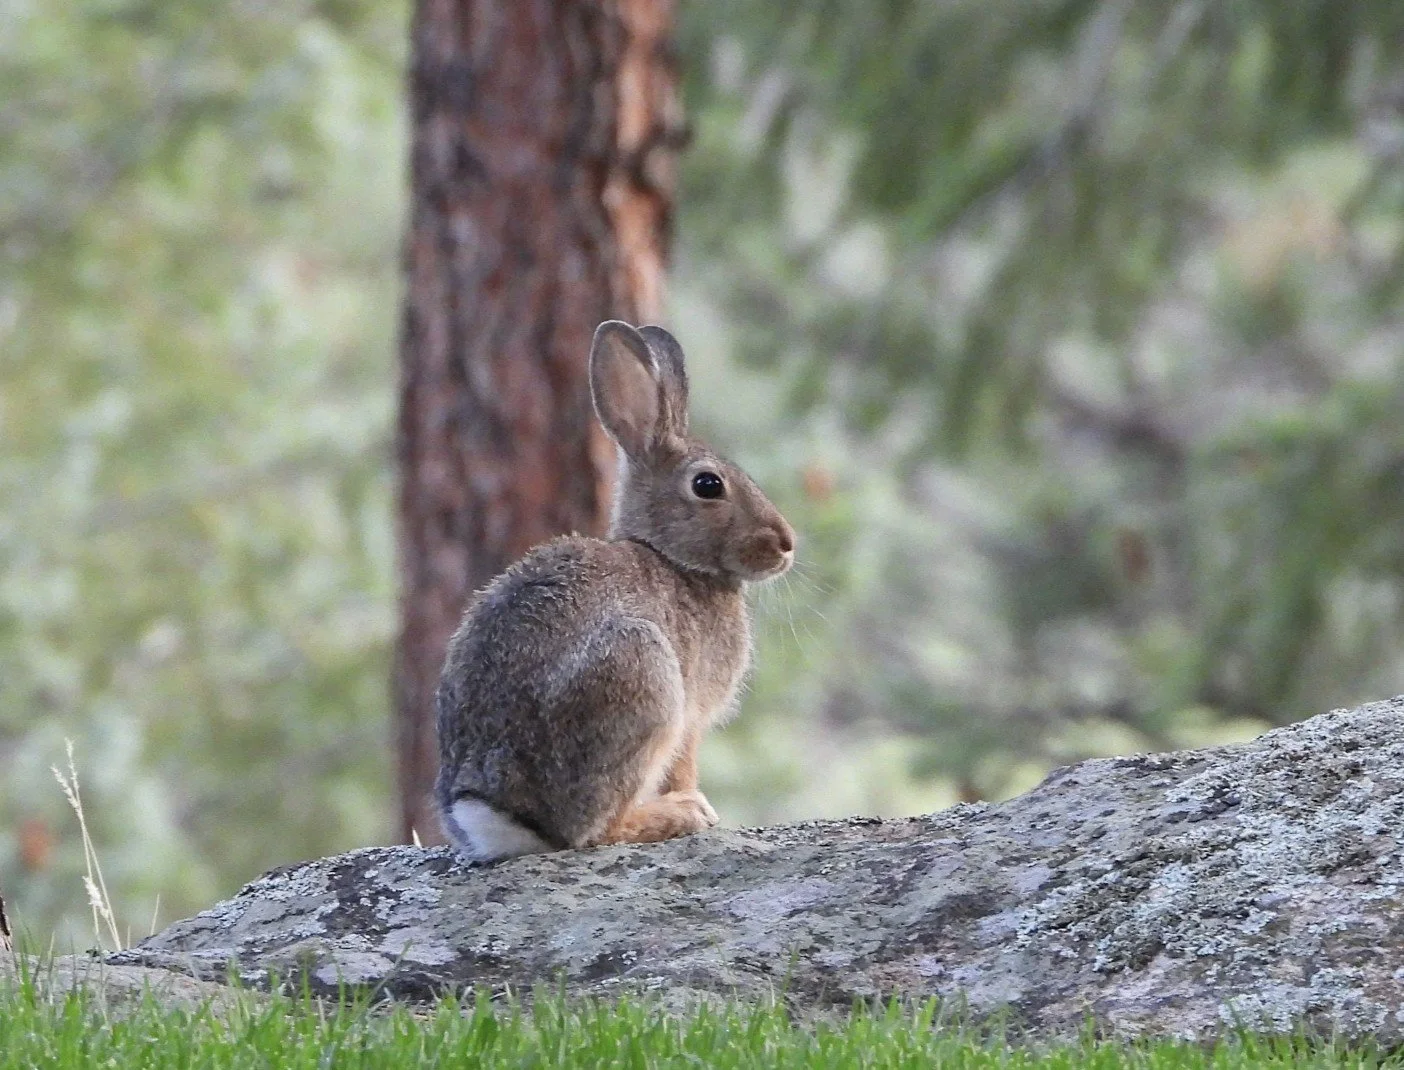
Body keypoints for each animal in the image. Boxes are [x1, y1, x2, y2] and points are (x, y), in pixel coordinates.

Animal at [435, 320, 795, 864]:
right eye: (708, 485)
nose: (786, 544)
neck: (673, 558)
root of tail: (502, 815)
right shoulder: (689, 719)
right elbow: (684, 766)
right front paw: (697, 804)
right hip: (642, 673)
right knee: (593, 831)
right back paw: (680, 815)